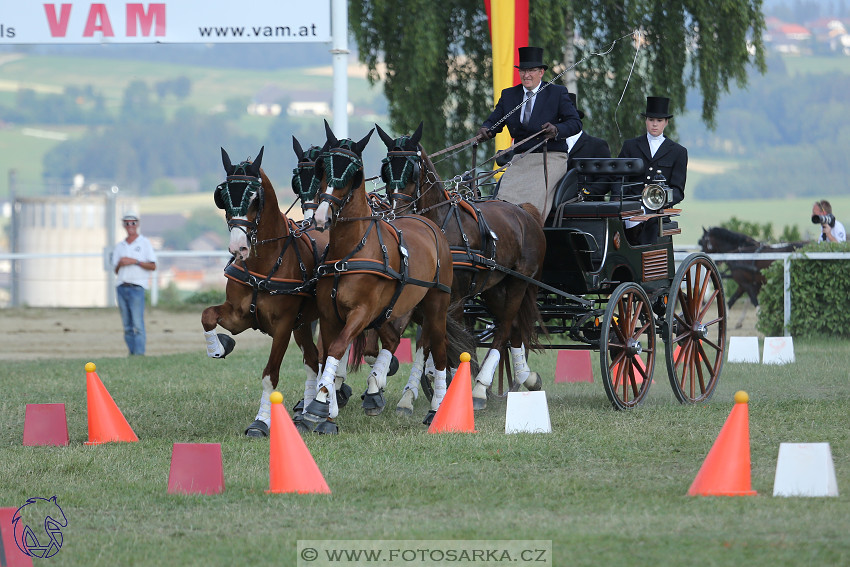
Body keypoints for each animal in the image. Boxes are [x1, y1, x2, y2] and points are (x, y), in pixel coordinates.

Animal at [306, 123, 476, 426]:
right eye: (322, 168)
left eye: (352, 172)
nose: (321, 217)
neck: (352, 249)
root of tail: (428, 223)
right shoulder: (329, 314)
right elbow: (327, 353)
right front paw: (328, 402)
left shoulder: (361, 312)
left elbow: (337, 347)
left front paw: (320, 403)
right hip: (395, 309)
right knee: (395, 341)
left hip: (436, 305)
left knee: (438, 350)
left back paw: (437, 407)